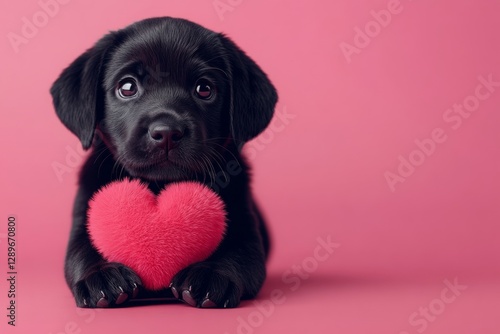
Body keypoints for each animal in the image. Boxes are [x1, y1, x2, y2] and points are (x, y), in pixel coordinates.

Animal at [50, 17, 278, 310]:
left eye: (204, 89)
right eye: (127, 87)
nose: (167, 132)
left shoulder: (244, 225)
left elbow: (239, 256)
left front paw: (210, 274)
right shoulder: (84, 217)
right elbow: (81, 252)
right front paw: (100, 274)